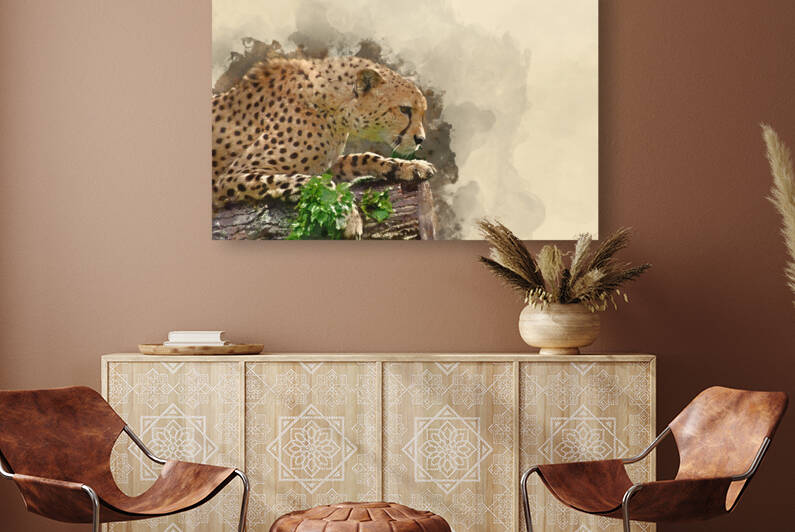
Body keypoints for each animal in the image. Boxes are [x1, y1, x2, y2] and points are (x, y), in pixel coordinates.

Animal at [211, 56, 436, 216]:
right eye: (405, 110)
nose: (420, 140)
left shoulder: (327, 163)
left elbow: (361, 157)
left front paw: (409, 166)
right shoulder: (230, 178)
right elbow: (309, 181)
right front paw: (349, 217)